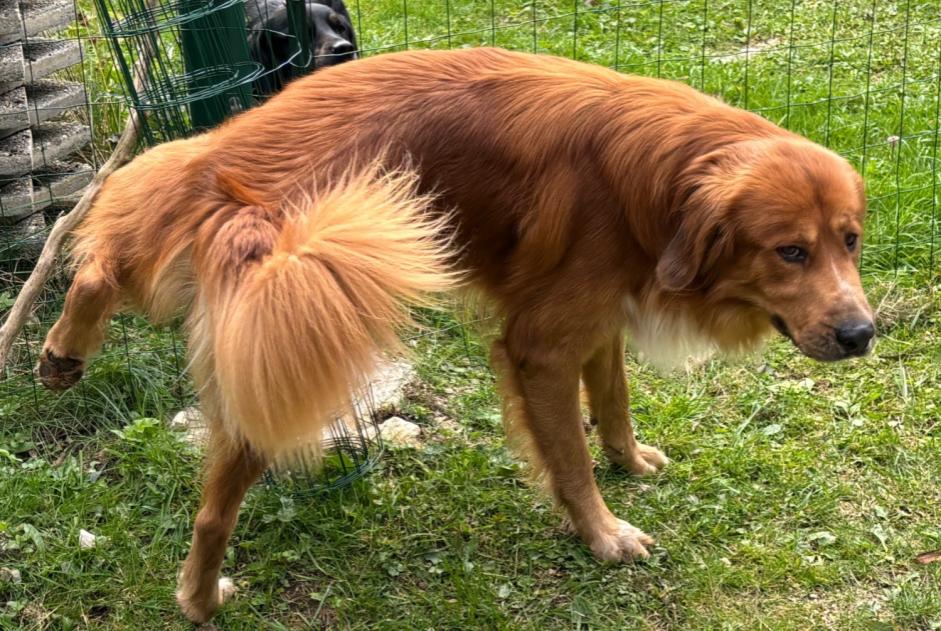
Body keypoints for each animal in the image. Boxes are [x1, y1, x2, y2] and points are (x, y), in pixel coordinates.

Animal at [36, 48, 872, 624]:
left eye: (849, 240)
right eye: (789, 251)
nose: (861, 333)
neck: (663, 177)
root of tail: (236, 171)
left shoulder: (596, 318)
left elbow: (613, 398)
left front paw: (629, 459)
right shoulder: (540, 346)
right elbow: (570, 459)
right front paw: (602, 533)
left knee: (102, 257)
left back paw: (62, 352)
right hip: (295, 340)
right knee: (212, 511)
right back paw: (203, 599)